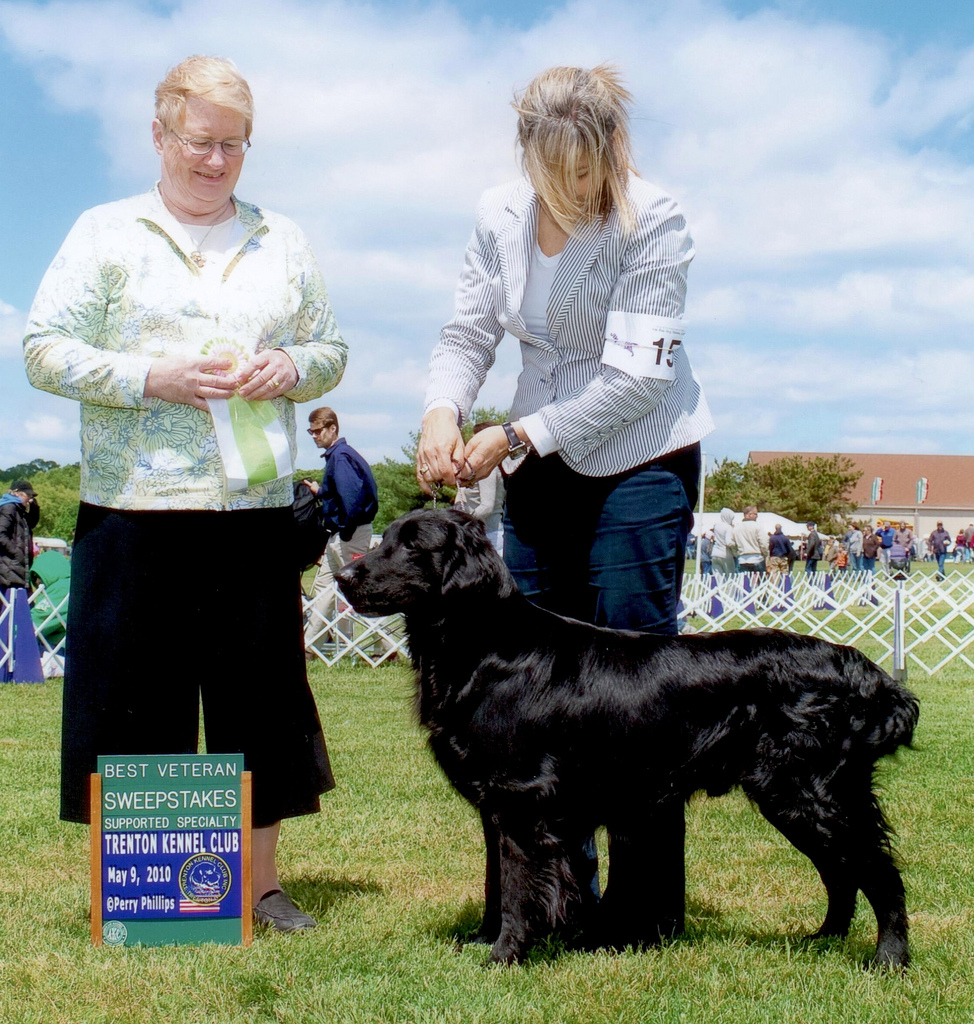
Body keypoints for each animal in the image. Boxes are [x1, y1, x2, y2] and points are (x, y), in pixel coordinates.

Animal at [335, 512, 913, 966]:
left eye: (414, 545)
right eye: (386, 538)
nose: (342, 576)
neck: (485, 645)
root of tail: (867, 674)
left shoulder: (521, 798)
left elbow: (519, 886)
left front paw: (505, 955)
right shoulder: (495, 803)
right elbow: (494, 880)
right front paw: (483, 939)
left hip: (807, 793)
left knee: (878, 872)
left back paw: (889, 959)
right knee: (842, 872)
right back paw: (824, 940)